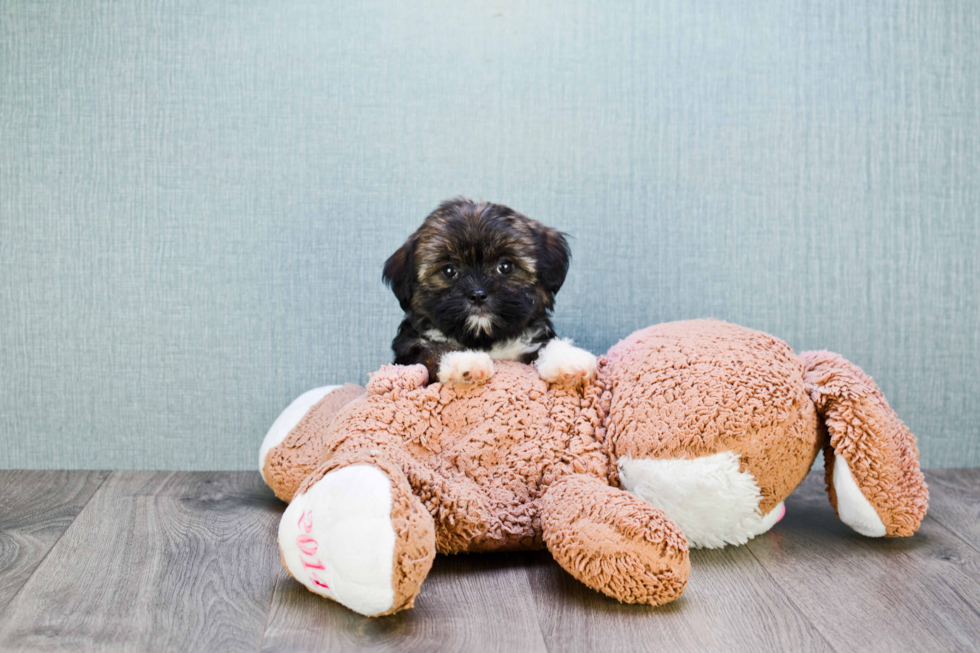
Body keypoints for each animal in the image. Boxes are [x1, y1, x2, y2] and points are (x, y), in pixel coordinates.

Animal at [382, 196, 596, 384]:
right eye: (449, 271)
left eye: (505, 266)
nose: (477, 295)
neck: (486, 339)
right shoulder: (410, 348)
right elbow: (434, 350)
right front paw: (464, 361)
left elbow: (546, 344)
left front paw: (567, 359)